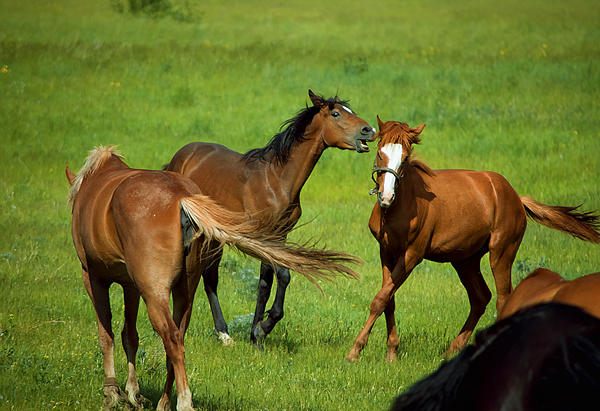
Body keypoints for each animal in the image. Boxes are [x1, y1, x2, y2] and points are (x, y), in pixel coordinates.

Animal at [68, 146, 364, 410]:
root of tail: (182, 199)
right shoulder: (130, 284)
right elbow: (129, 333)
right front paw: (132, 393)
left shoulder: (92, 276)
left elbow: (106, 333)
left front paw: (112, 394)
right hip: (183, 288)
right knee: (179, 335)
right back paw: (166, 401)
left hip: (155, 291)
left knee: (172, 337)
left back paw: (183, 401)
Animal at [164, 90, 376, 348]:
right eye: (336, 114)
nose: (369, 130)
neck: (277, 179)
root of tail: (180, 157)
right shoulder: (265, 236)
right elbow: (283, 275)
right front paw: (265, 326)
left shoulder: (279, 235)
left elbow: (264, 284)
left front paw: (255, 336)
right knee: (207, 275)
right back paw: (220, 333)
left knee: (210, 276)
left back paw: (224, 333)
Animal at [346, 117, 600, 362]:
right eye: (380, 152)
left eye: (405, 158)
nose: (386, 197)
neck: (399, 207)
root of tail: (516, 197)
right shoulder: (387, 252)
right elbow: (389, 299)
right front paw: (391, 353)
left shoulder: (411, 256)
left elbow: (381, 298)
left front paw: (355, 351)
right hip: (465, 260)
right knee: (480, 298)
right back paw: (453, 349)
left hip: (501, 254)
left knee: (502, 299)